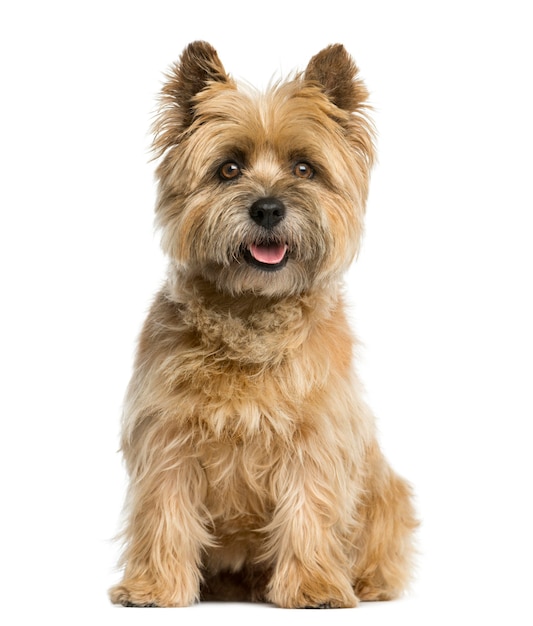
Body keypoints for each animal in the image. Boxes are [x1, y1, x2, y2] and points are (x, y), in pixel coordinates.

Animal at [109, 41, 416, 608]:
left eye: (304, 168)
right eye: (228, 169)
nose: (268, 208)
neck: (251, 312)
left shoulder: (315, 440)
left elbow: (308, 510)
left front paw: (315, 586)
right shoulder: (167, 437)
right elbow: (164, 511)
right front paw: (155, 587)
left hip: (386, 491)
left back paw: (362, 582)